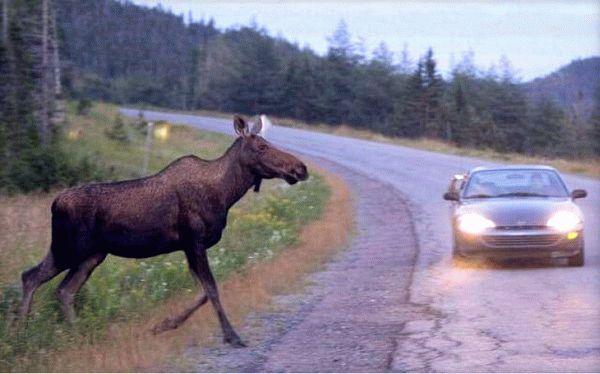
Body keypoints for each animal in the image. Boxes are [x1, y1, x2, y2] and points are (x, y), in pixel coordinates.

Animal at [18, 114, 310, 348]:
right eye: (261, 146)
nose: (301, 168)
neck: (226, 194)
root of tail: (55, 203)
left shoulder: (188, 247)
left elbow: (202, 292)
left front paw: (163, 325)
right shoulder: (194, 240)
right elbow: (212, 289)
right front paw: (232, 336)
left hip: (91, 255)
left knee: (63, 290)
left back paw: (73, 335)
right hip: (69, 248)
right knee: (31, 277)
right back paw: (21, 332)